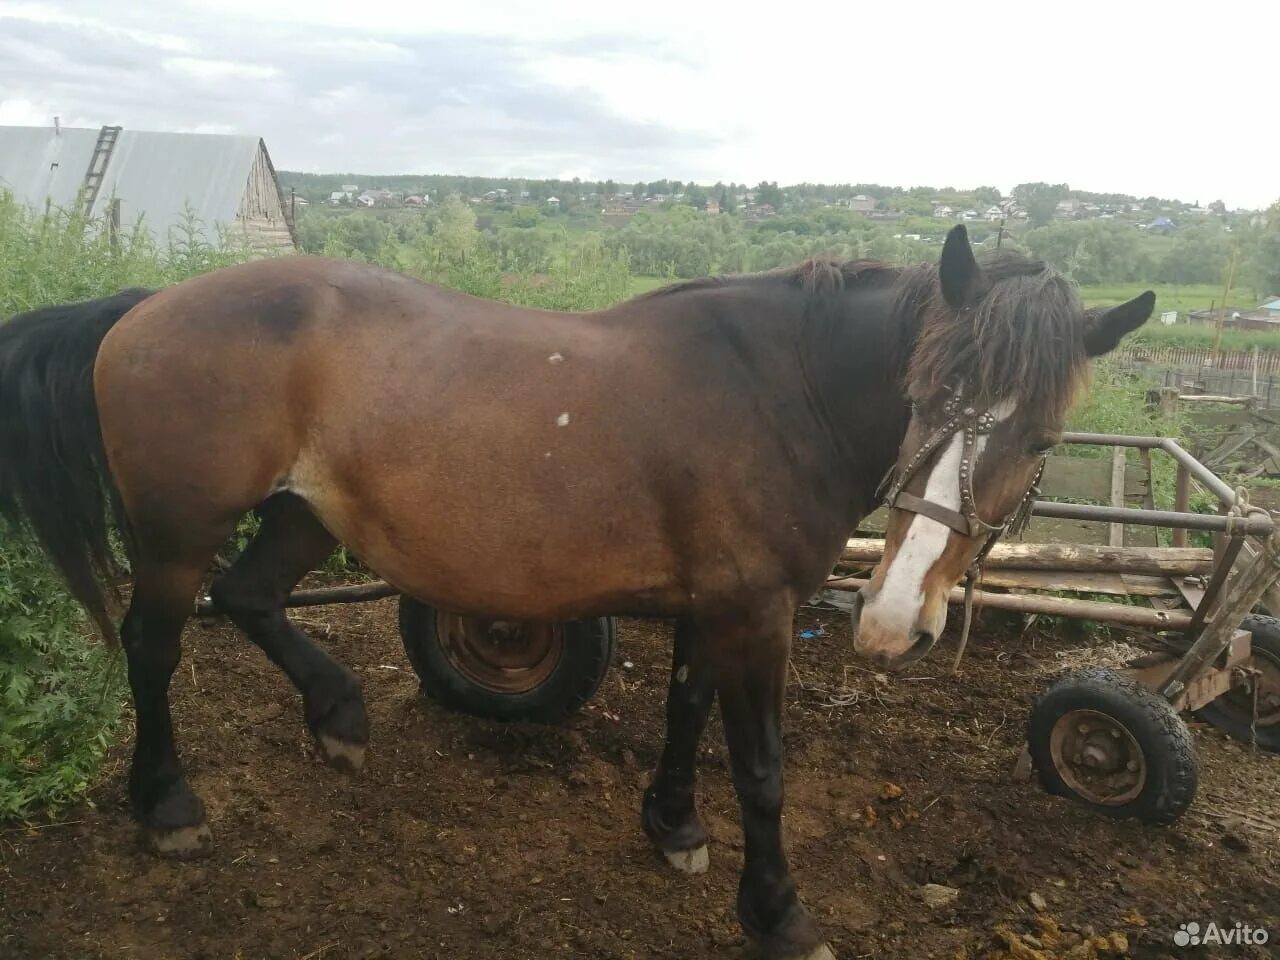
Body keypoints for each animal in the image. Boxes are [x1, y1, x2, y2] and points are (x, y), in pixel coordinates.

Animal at [0, 227, 1157, 960]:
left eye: (1039, 439)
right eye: (924, 395)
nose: (892, 620)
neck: (777, 392)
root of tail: (145, 309)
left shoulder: (712, 605)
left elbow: (686, 712)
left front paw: (673, 827)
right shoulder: (755, 612)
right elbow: (763, 768)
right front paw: (774, 911)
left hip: (299, 514)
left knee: (249, 599)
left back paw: (337, 715)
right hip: (176, 537)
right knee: (154, 648)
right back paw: (168, 806)